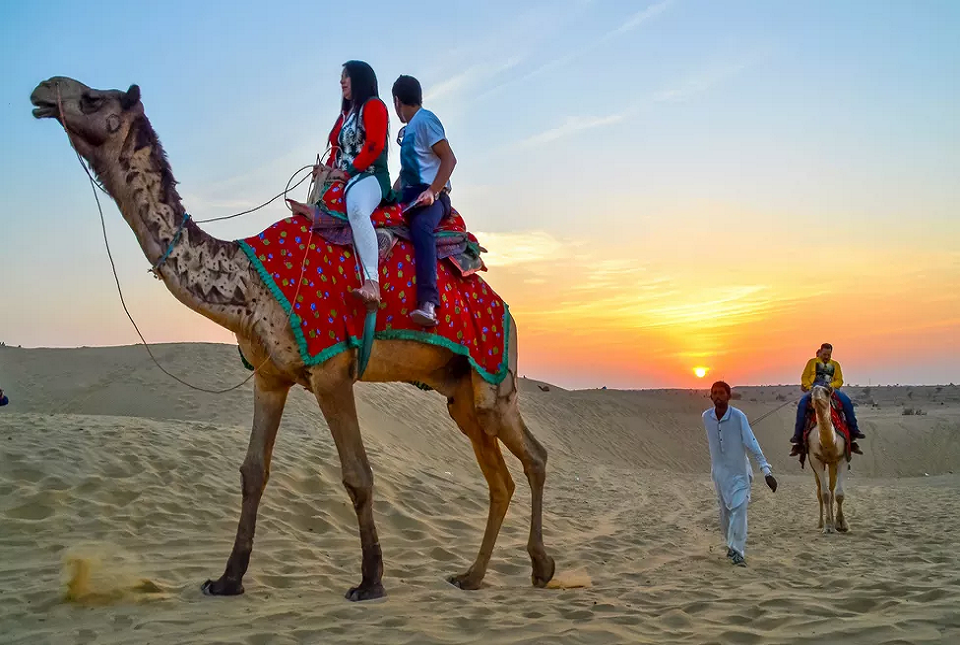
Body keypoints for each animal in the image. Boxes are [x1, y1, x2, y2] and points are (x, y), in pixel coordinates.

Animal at [30, 76, 555, 601]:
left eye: (93, 99)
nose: (42, 90)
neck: (248, 284)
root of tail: (506, 310)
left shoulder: (331, 370)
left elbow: (358, 475)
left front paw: (370, 581)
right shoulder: (270, 376)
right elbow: (253, 472)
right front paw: (227, 579)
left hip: (493, 378)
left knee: (534, 456)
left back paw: (541, 567)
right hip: (460, 392)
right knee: (500, 478)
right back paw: (472, 575)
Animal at [807, 386, 849, 534]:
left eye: (826, 391)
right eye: (811, 392)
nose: (815, 395)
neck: (829, 444)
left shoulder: (842, 458)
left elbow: (839, 494)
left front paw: (841, 524)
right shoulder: (816, 460)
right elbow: (824, 494)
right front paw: (828, 526)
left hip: (832, 464)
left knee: (832, 490)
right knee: (821, 492)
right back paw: (821, 523)